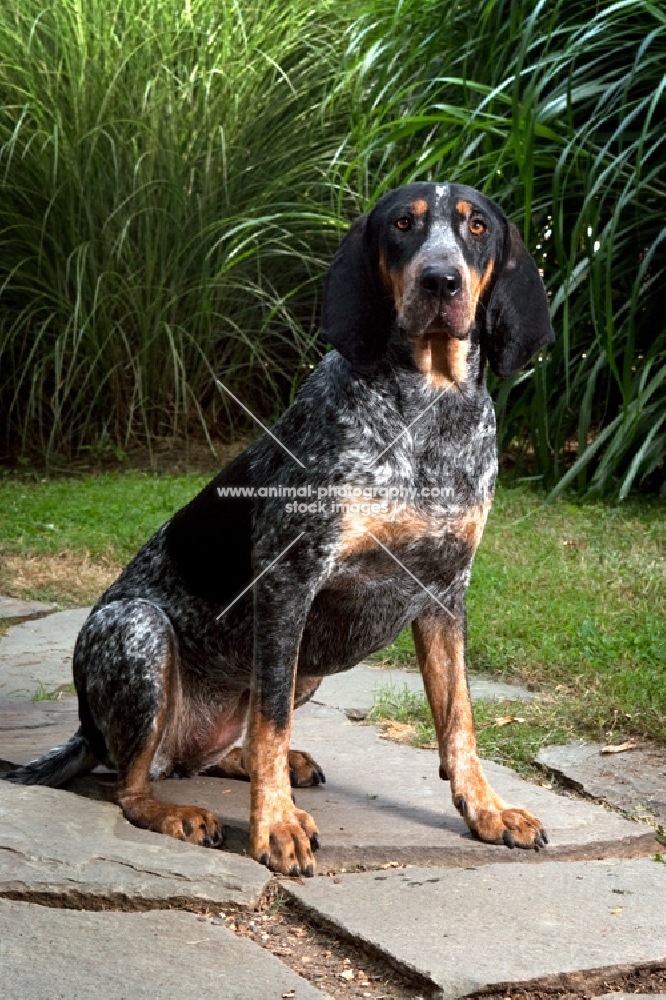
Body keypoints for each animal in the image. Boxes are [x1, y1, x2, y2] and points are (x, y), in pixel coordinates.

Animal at [5, 182, 552, 876]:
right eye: (403, 225)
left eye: (476, 227)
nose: (440, 280)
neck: (430, 410)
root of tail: (87, 729)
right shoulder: (289, 581)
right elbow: (269, 720)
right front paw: (275, 826)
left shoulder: (444, 593)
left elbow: (460, 722)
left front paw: (486, 809)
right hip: (140, 630)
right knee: (134, 784)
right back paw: (181, 810)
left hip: (307, 664)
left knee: (202, 756)